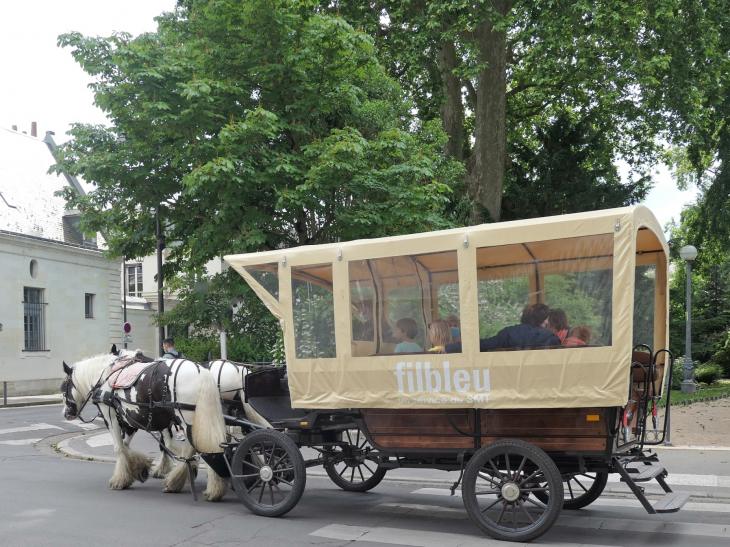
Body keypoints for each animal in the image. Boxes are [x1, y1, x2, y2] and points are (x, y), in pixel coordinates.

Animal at [61, 352, 228, 500]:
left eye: (64, 389)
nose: (66, 413)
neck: (105, 377)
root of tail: (201, 371)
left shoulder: (111, 416)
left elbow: (119, 447)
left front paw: (120, 479)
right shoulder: (131, 421)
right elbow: (129, 446)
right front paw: (139, 466)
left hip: (188, 420)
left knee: (201, 448)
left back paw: (205, 488)